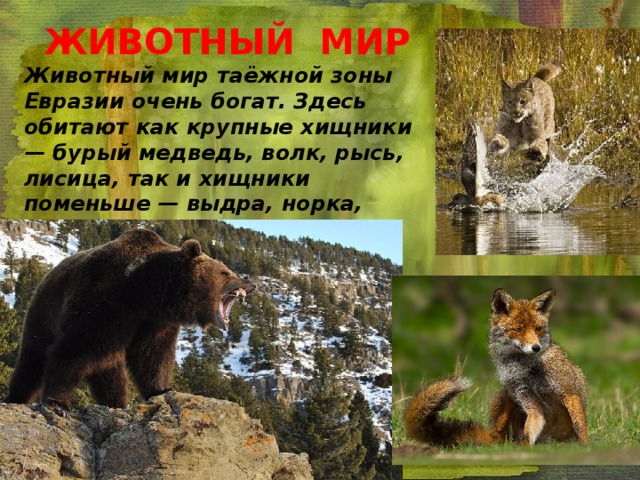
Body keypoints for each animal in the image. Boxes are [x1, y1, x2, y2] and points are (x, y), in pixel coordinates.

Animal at [5, 228, 255, 414]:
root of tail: (46, 277)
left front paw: (162, 388)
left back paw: (115, 403)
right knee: (33, 358)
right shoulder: (101, 304)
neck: (143, 292)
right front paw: (58, 403)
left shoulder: (155, 322)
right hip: (44, 314)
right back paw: (15, 397)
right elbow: (72, 350)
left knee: (109, 373)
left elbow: (152, 356)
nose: (249, 283)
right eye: (224, 272)